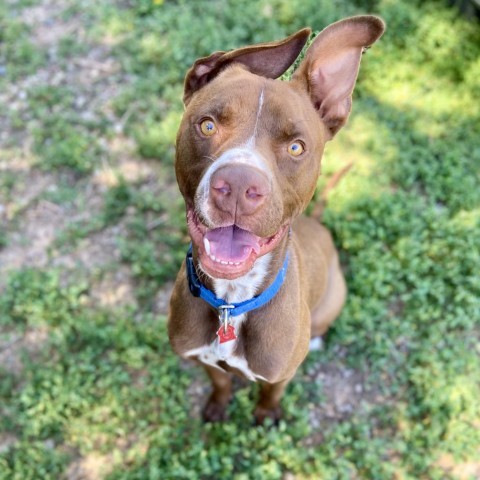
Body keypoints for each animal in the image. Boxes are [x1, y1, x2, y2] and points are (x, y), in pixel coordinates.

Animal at [167, 15, 384, 424]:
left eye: (296, 147)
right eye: (207, 125)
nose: (238, 185)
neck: (231, 302)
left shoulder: (280, 374)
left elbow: (271, 394)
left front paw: (266, 416)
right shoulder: (199, 358)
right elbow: (220, 381)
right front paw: (217, 405)